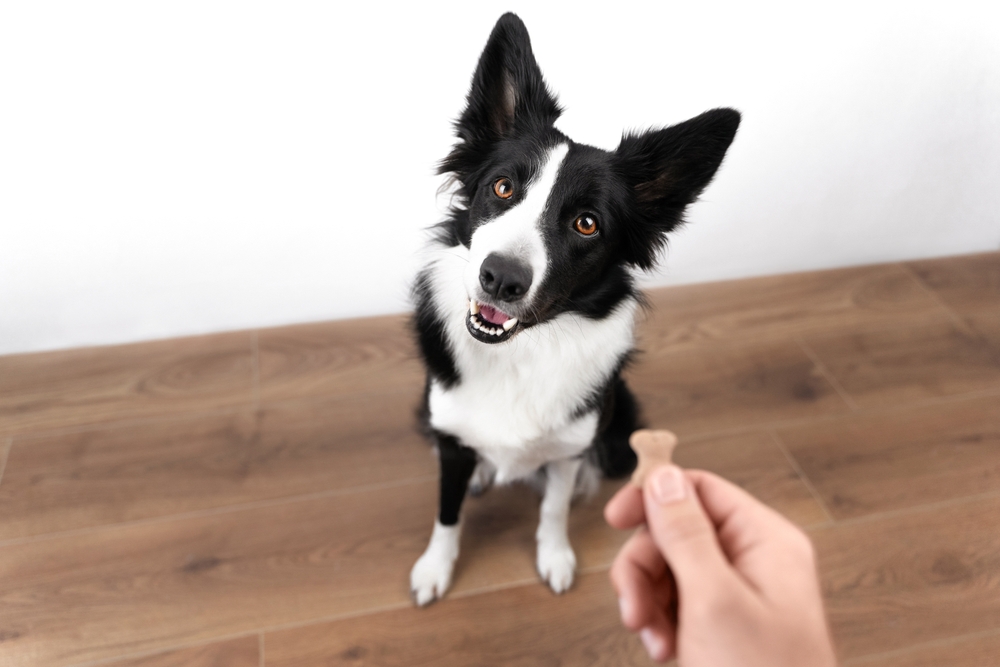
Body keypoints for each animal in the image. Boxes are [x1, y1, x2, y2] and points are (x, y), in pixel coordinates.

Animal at [408, 11, 744, 604]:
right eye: (502, 187)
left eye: (586, 223)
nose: (501, 278)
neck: (520, 354)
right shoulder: (448, 434)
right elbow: (448, 511)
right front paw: (435, 568)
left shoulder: (568, 447)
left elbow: (554, 507)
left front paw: (555, 556)